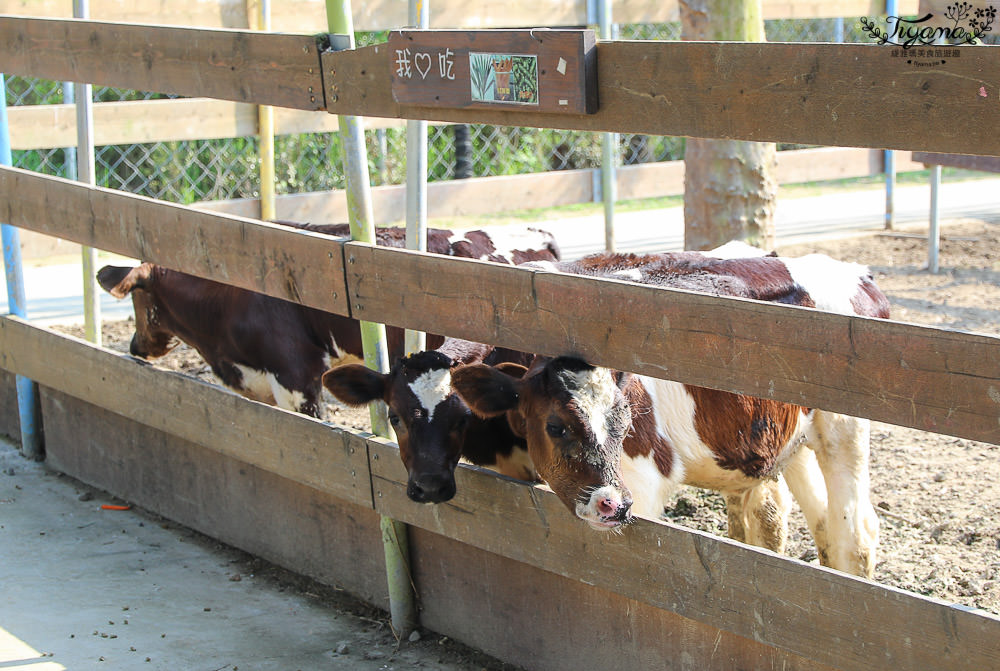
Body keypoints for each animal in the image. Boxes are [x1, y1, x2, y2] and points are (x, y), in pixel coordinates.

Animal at [454, 252, 892, 576]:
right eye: (555, 426)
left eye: (626, 424)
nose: (612, 505)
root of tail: (858, 273)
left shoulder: (643, 480)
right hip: (791, 439)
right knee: (814, 523)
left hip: (844, 429)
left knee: (856, 534)